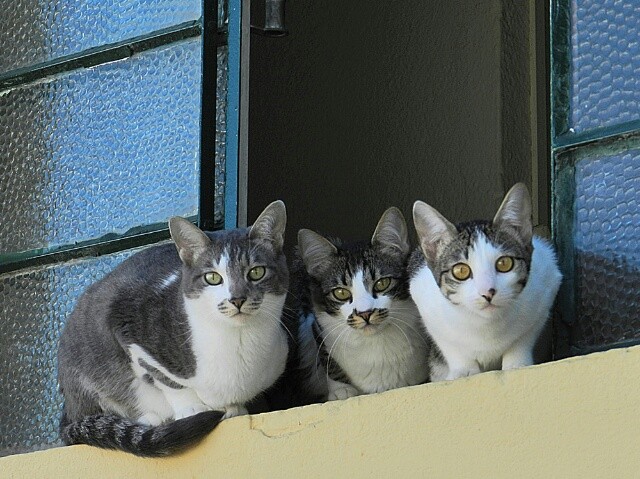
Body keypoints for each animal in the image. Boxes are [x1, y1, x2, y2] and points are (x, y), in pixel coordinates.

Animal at [58, 201, 288, 456]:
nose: (237, 299)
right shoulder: (125, 324)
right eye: (212, 277)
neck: (237, 341)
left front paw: (235, 408)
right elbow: (165, 379)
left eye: (256, 272)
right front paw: (191, 408)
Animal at [296, 209, 428, 402]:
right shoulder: (316, 325)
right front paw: (341, 390)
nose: (365, 313)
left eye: (382, 283)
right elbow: (327, 359)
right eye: (341, 293)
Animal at [410, 184, 560, 382]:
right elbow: (450, 345)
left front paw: (516, 363)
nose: (488, 292)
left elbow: (523, 337)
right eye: (461, 271)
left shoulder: (547, 282)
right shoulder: (423, 298)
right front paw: (463, 370)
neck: (486, 326)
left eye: (504, 263)